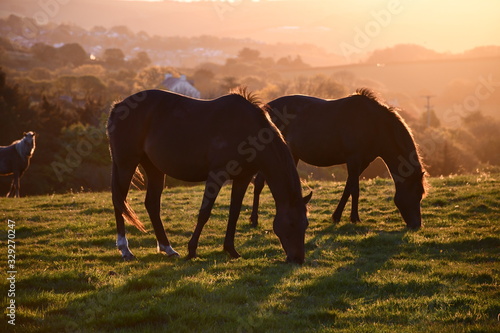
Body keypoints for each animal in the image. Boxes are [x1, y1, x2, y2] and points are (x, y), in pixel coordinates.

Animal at [108, 89, 310, 264]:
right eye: (291, 224)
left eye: (305, 224)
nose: (298, 259)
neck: (247, 131)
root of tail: (119, 106)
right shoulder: (216, 175)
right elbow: (204, 212)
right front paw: (192, 250)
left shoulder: (242, 178)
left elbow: (234, 213)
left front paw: (231, 250)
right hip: (126, 165)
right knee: (120, 202)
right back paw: (125, 250)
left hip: (154, 168)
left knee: (151, 204)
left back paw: (168, 248)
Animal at [252, 88, 428, 228]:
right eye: (416, 193)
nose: (416, 225)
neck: (373, 124)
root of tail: (264, 110)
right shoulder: (354, 159)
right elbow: (355, 189)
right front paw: (355, 218)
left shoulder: (363, 161)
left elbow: (348, 186)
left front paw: (336, 216)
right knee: (259, 183)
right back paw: (254, 220)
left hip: (290, 156)